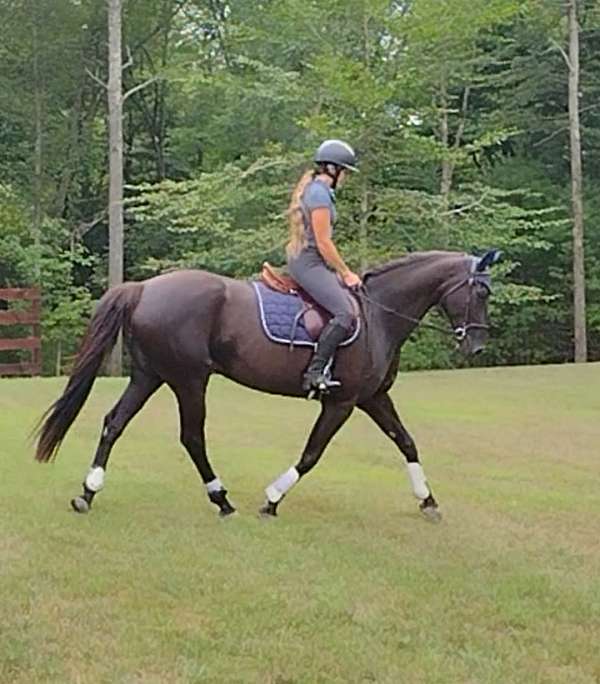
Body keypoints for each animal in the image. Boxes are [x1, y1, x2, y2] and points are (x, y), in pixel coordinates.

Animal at [35, 248, 500, 520]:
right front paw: (273, 499)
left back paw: (88, 492)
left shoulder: (372, 397)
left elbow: (406, 442)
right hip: (189, 379)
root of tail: (144, 288)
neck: (377, 316)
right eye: (481, 292)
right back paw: (221, 499)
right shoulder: (342, 402)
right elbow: (312, 454)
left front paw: (428, 500)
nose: (477, 345)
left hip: (151, 375)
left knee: (114, 422)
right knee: (192, 437)